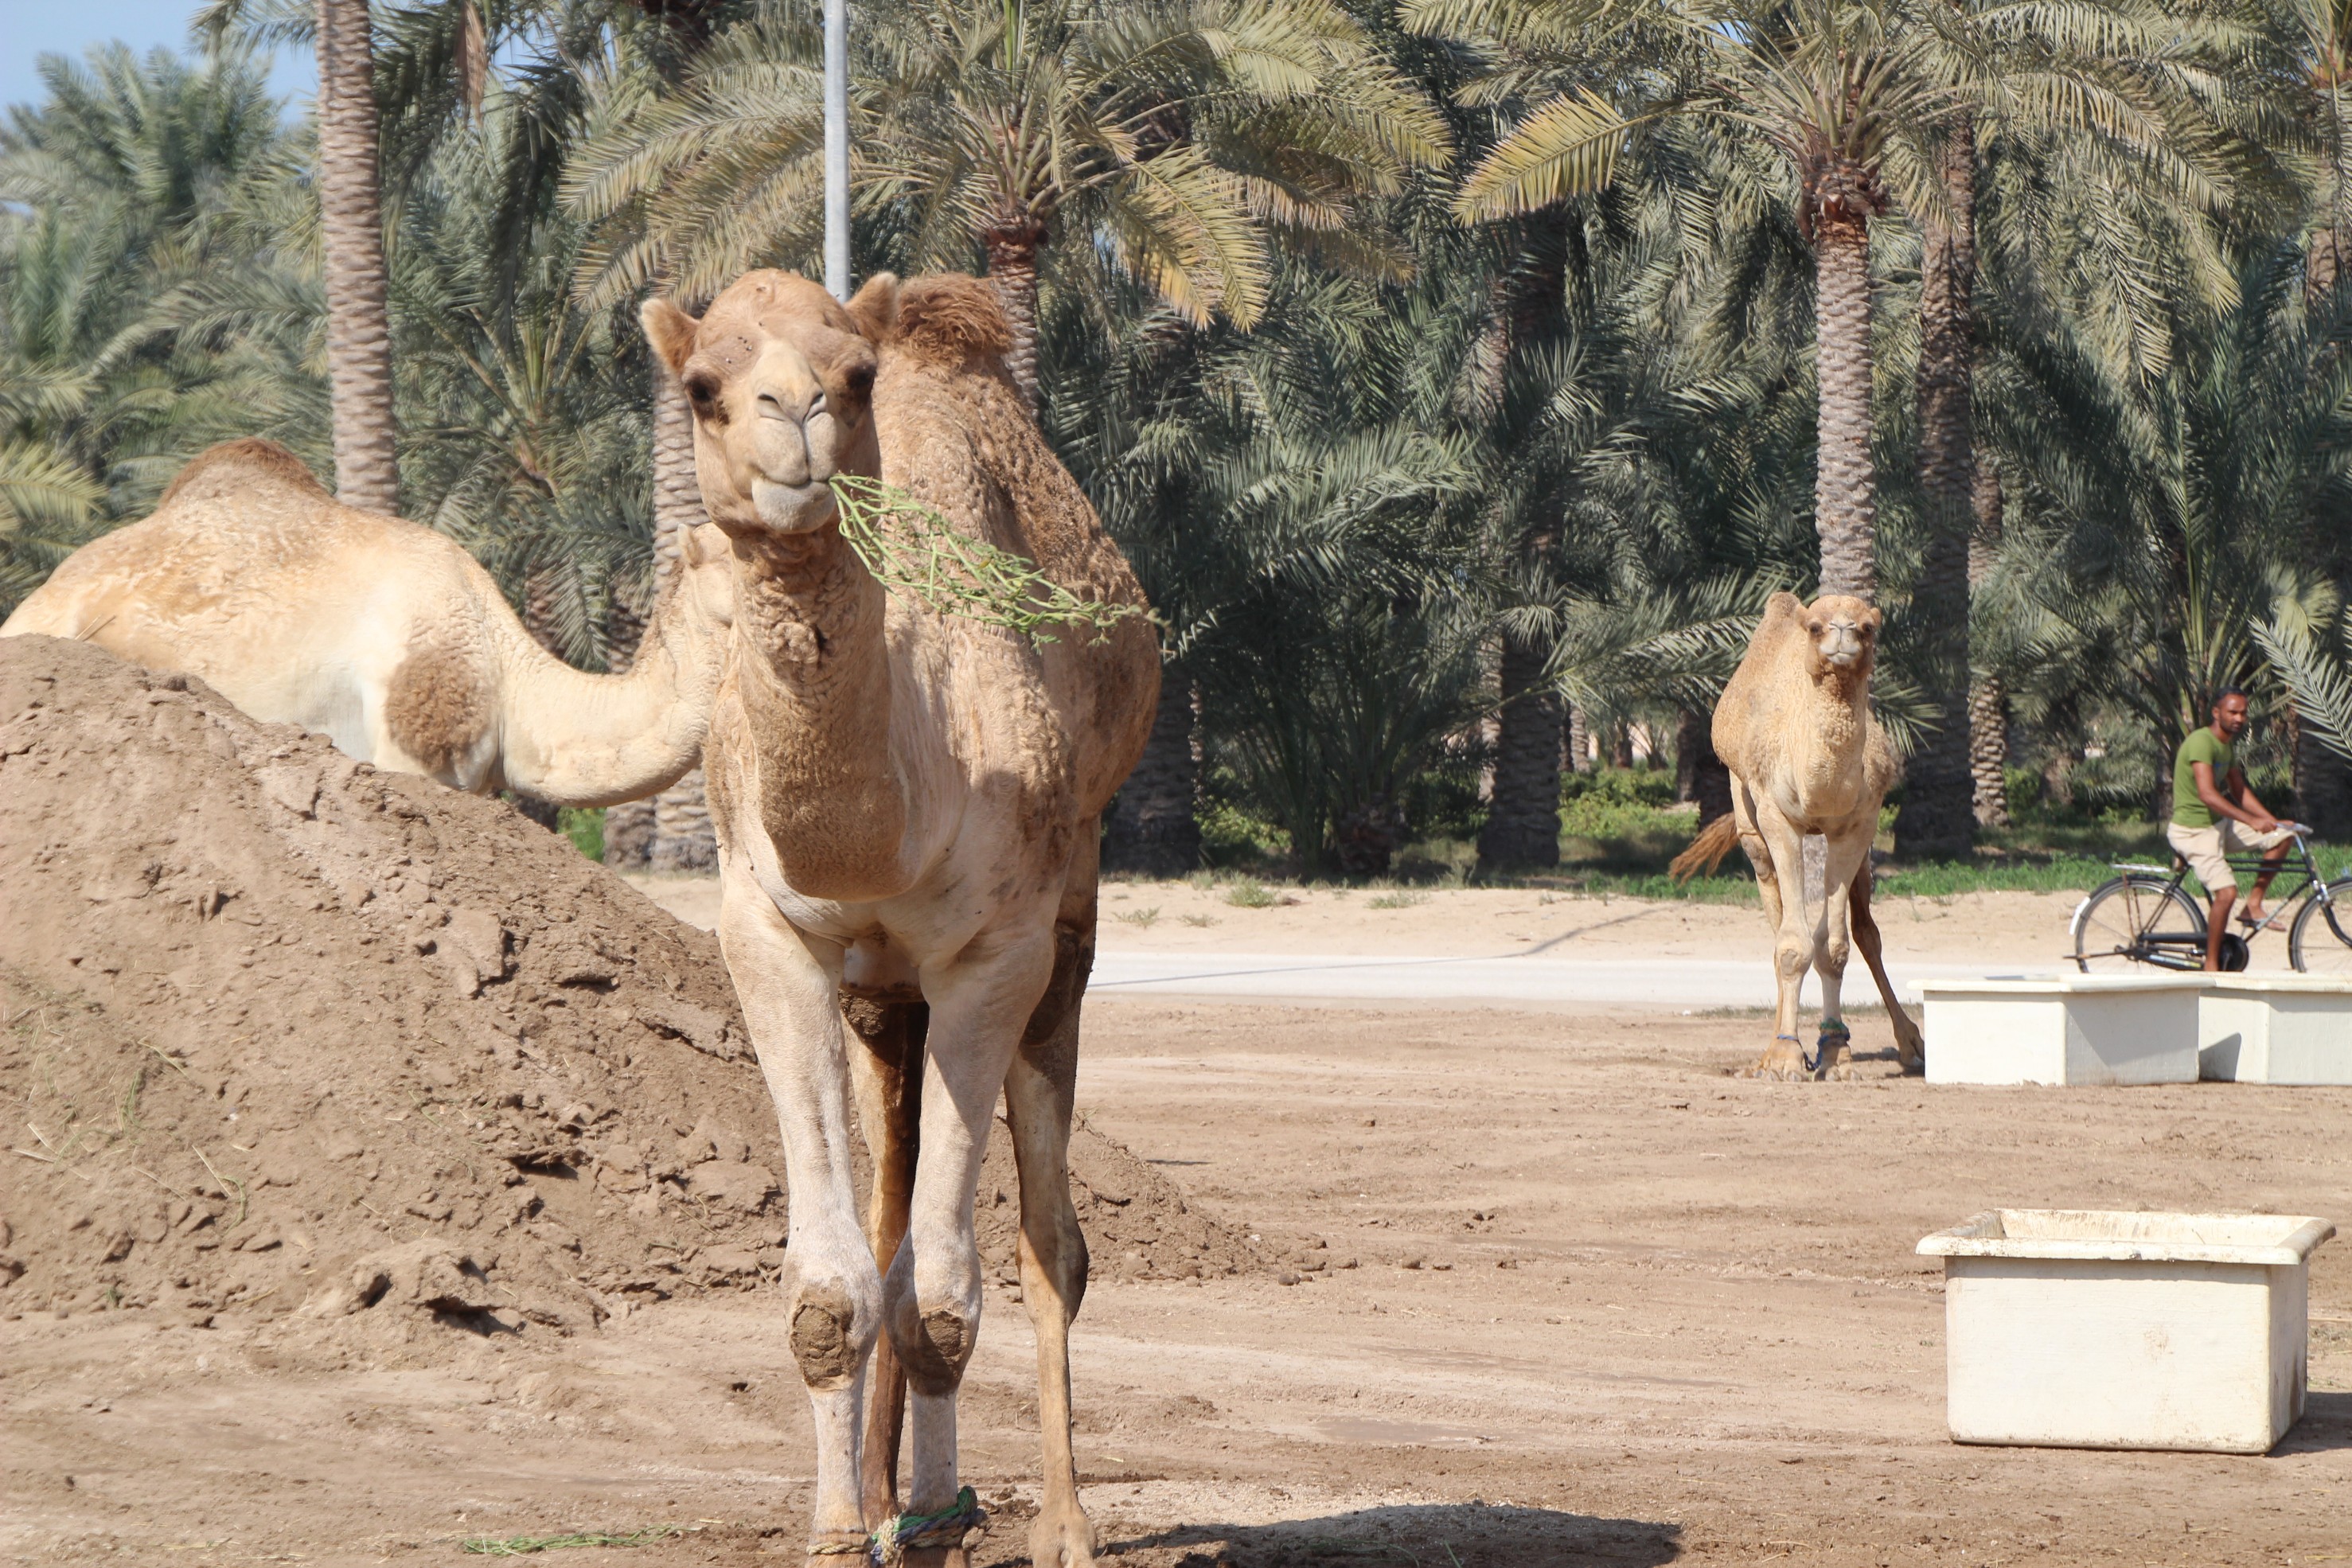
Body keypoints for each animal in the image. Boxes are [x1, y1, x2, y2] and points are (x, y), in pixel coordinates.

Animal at [639, 272, 1161, 1568]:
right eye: (702, 386)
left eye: (856, 375)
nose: (797, 418)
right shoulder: (767, 931)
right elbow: (836, 1288)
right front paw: (841, 1530)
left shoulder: (996, 950)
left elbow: (942, 1296)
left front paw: (937, 1524)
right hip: (882, 991)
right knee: (886, 1210)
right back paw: (884, 1495)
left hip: (1069, 917)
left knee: (1047, 1236)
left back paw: (1050, 1519)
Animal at [1665, 587, 1919, 1081]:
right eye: (1816, 627)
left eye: (1868, 627)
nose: (1841, 634)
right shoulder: (1777, 817)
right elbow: (1793, 944)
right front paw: (1785, 1058)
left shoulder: (1857, 825)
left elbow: (1835, 946)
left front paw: (1836, 1054)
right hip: (1748, 819)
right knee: (1776, 918)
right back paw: (1773, 1049)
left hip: (1859, 856)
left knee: (1865, 932)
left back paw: (1907, 1044)